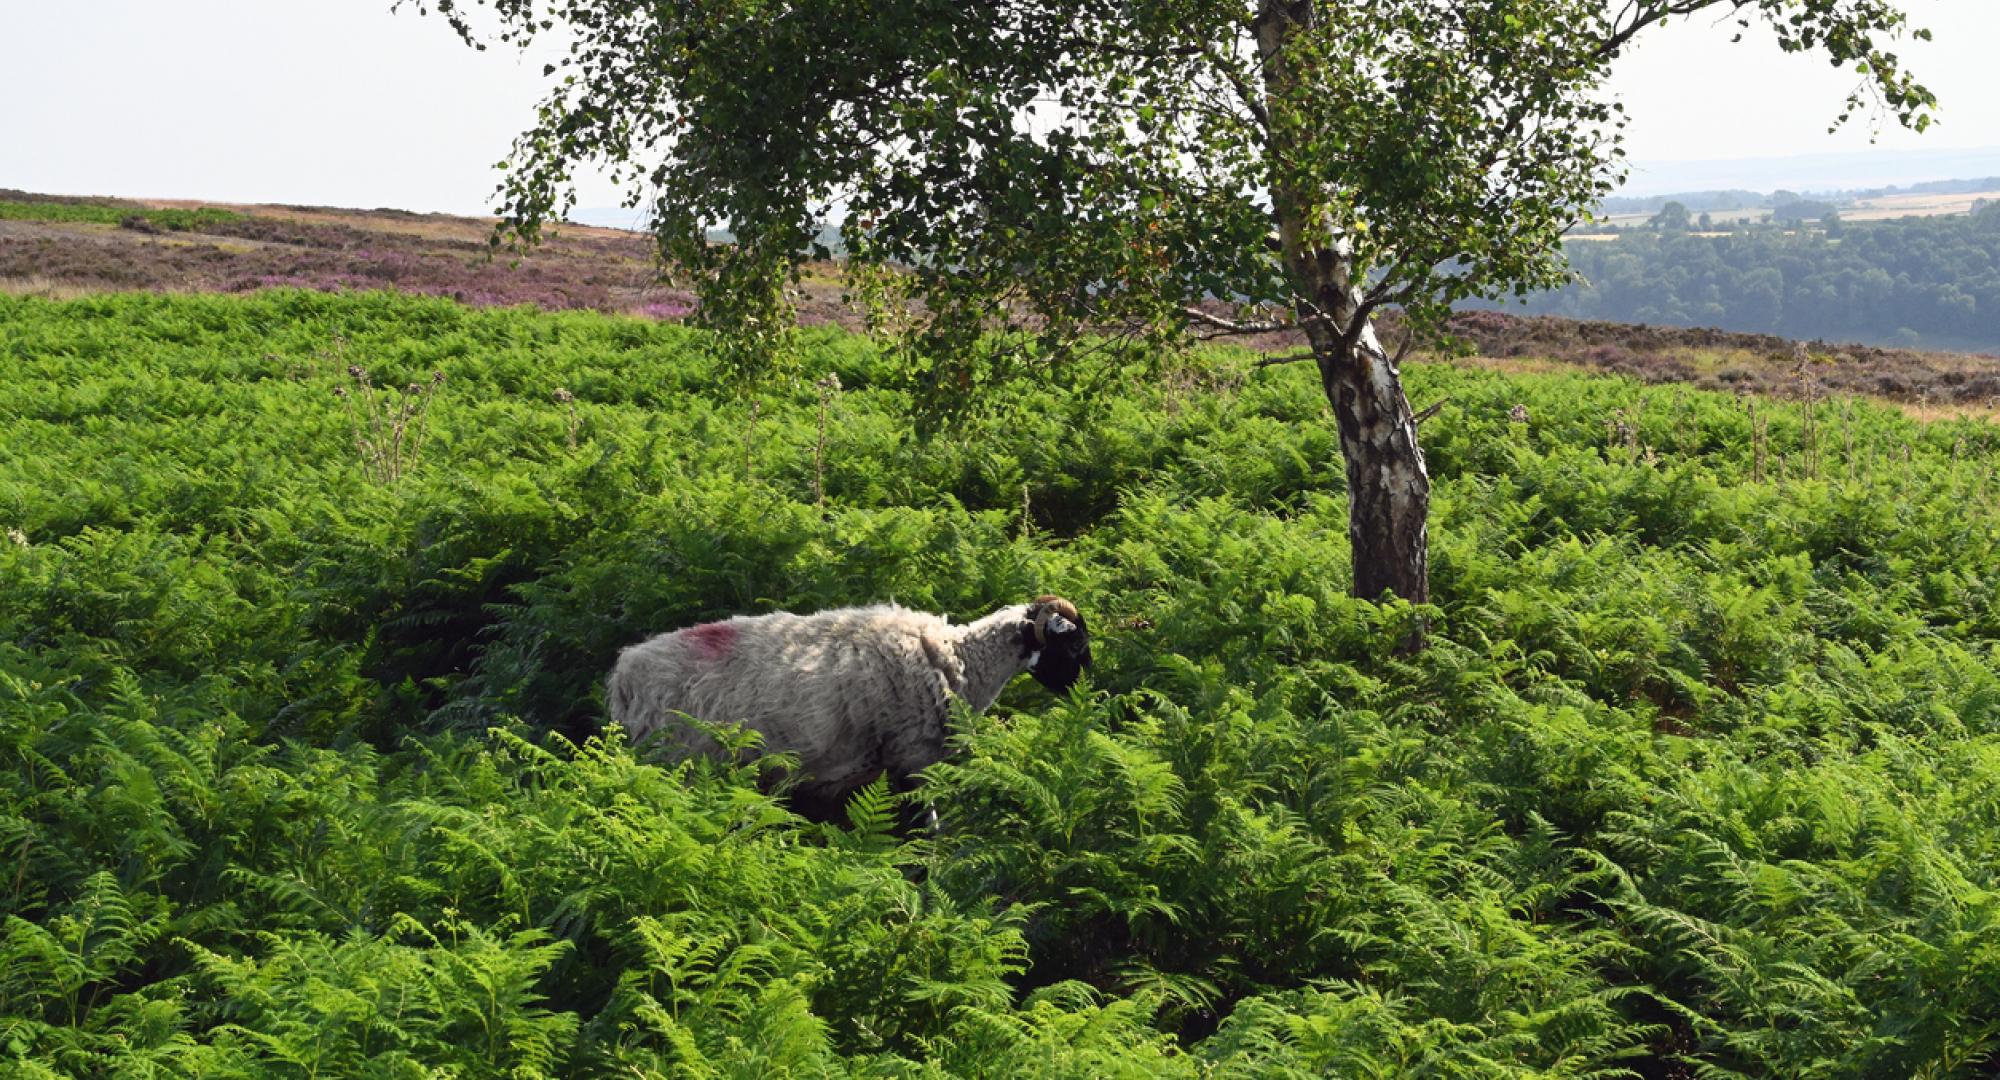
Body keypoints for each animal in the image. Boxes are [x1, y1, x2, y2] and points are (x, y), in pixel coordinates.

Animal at [604, 596, 1096, 816]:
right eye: (1074, 644)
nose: (1090, 695)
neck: (958, 659)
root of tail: (624, 676)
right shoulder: (911, 759)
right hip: (678, 763)